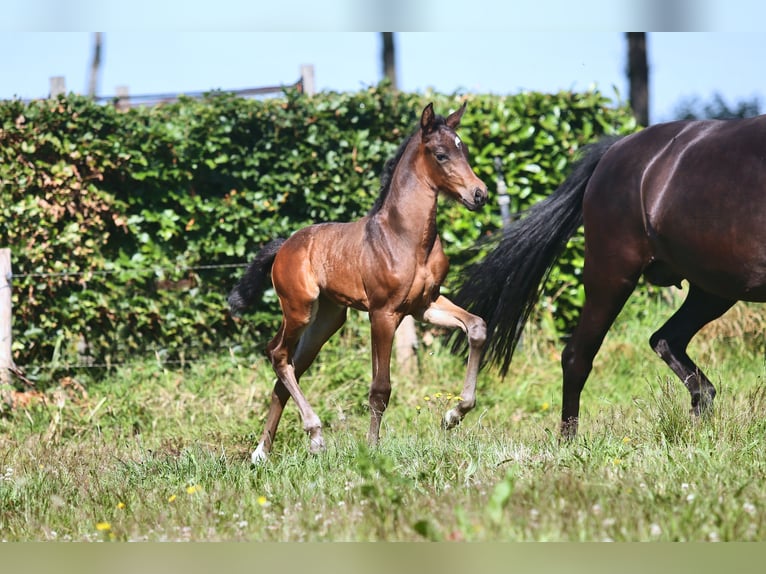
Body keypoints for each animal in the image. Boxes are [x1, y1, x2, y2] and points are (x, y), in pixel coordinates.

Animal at [231, 102, 488, 464]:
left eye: (463, 150)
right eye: (441, 155)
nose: (480, 194)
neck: (406, 237)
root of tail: (284, 246)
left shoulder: (425, 305)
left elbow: (477, 327)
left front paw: (453, 416)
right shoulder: (383, 313)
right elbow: (380, 387)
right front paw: (373, 449)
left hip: (327, 318)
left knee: (289, 369)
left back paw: (262, 452)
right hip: (298, 309)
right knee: (278, 355)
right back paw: (314, 435)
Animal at [456, 117, 766, 440]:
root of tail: (614, 151)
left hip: (714, 288)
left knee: (666, 340)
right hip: (612, 276)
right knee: (577, 356)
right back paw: (568, 441)